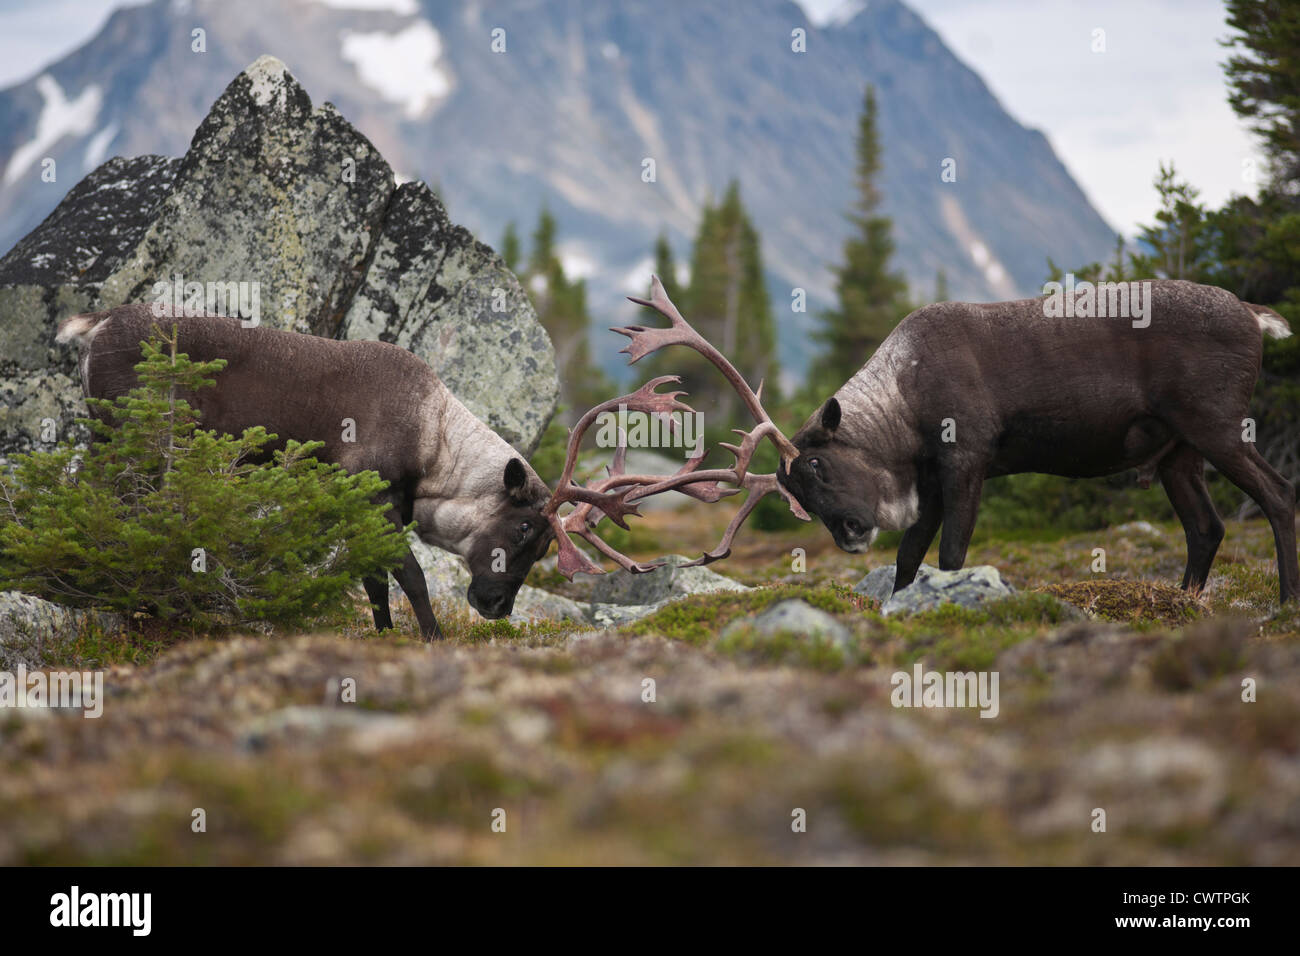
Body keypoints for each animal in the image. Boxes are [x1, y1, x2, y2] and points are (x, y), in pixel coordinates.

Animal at [56, 287, 804, 638]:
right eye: (527, 530)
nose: (496, 609)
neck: (437, 447)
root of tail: (94, 325)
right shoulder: (376, 495)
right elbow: (409, 574)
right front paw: (435, 636)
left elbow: (371, 581)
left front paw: (385, 636)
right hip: (129, 439)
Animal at [774, 278, 1300, 605]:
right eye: (796, 495)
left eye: (817, 464)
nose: (847, 533)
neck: (903, 398)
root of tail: (1253, 315)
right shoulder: (933, 481)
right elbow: (908, 556)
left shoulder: (966, 460)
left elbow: (950, 555)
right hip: (1178, 452)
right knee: (1206, 527)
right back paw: (1184, 601)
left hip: (1218, 427)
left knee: (1278, 493)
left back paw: (1286, 601)